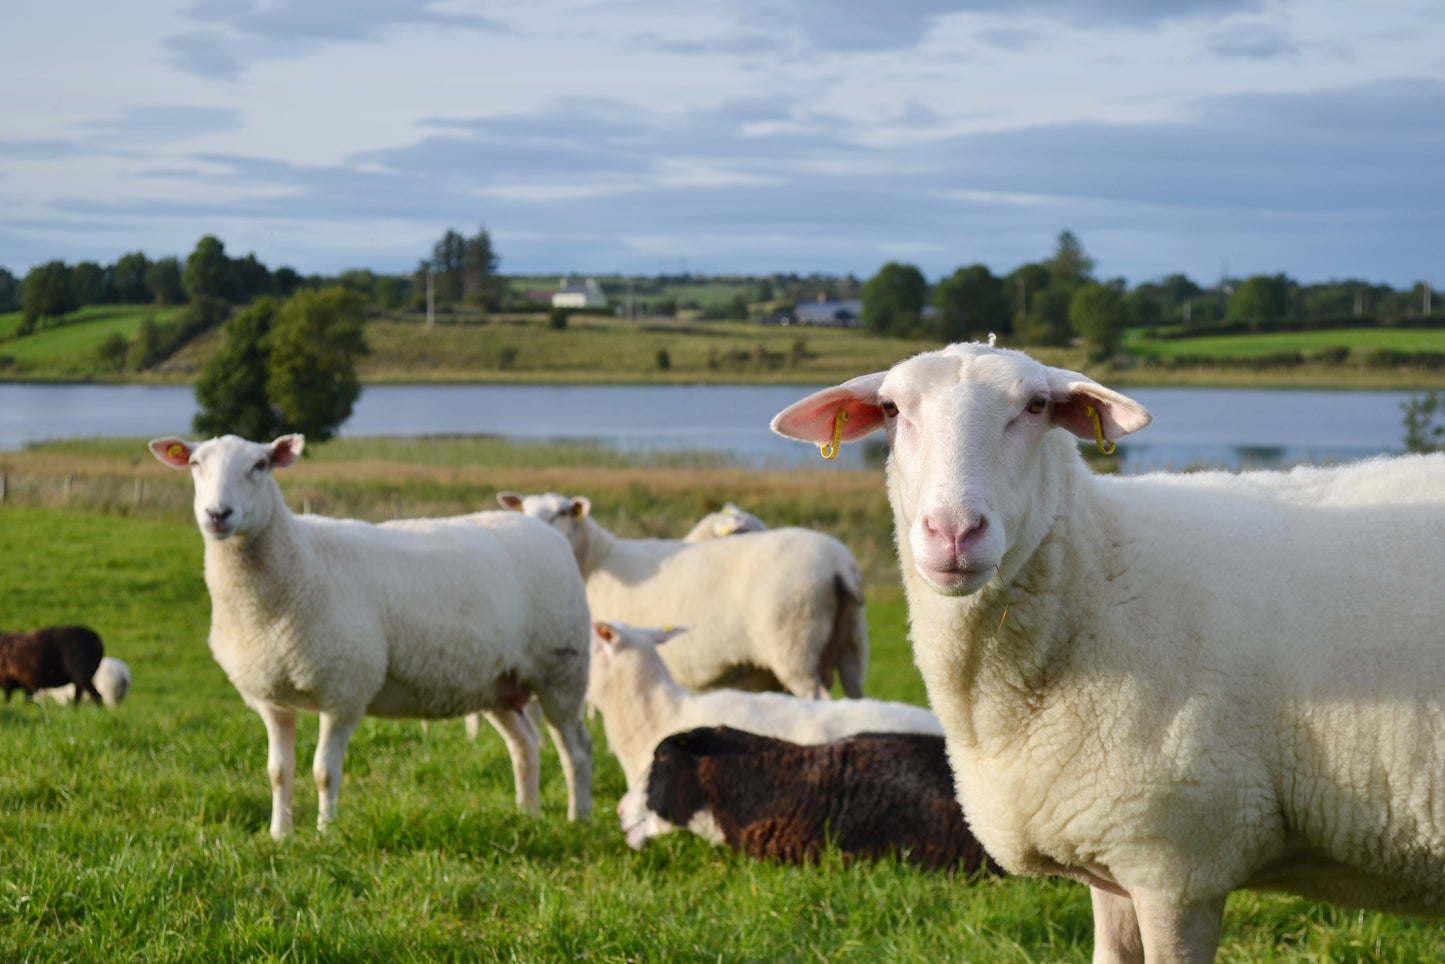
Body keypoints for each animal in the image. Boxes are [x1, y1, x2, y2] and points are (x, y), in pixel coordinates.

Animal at [148, 433, 592, 838]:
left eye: (260, 465)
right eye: (195, 464)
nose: (218, 514)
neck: (299, 565)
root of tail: (544, 533)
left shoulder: (344, 690)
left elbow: (324, 772)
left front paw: (326, 834)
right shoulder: (271, 697)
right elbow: (278, 771)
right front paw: (279, 836)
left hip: (562, 672)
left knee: (576, 749)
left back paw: (578, 819)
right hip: (497, 683)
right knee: (526, 744)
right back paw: (527, 815)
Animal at [497, 494, 861, 696]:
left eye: (563, 512)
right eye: (523, 508)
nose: (531, 531)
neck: (597, 561)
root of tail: (838, 564)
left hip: (796, 646)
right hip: (851, 646)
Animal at [774, 341, 1445, 964]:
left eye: (1036, 406)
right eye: (891, 409)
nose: (954, 533)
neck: (1100, 573)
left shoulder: (1178, 863)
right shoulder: (1109, 850)